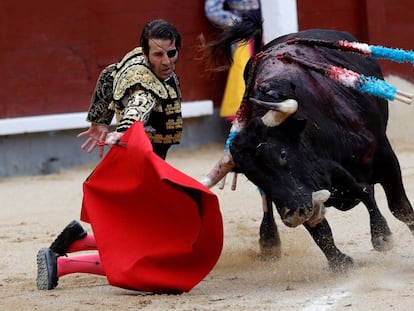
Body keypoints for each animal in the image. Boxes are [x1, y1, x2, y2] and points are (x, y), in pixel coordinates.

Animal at [201, 15, 414, 272]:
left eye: (282, 154)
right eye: (252, 177)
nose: (294, 215)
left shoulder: (385, 158)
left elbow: (399, 207)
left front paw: (382, 236)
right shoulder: (301, 193)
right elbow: (319, 229)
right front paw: (340, 263)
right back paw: (269, 242)